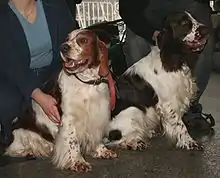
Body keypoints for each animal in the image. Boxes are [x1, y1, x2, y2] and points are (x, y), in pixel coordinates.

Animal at [106, 11, 210, 150]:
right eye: (183, 22)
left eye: (194, 18)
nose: (206, 29)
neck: (173, 60)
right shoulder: (168, 102)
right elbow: (180, 124)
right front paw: (189, 142)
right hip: (134, 111)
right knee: (116, 140)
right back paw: (135, 143)